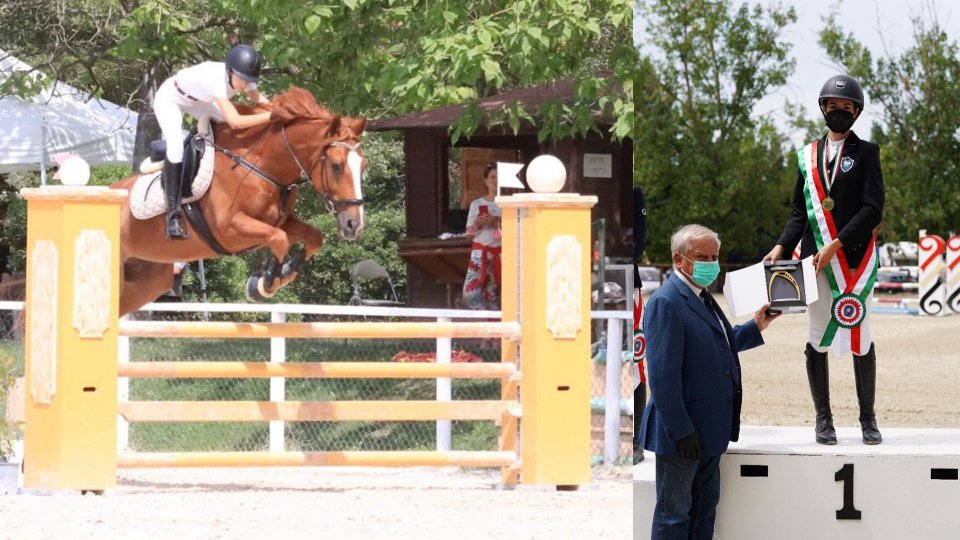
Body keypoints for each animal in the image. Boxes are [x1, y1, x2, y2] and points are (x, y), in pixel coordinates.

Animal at [112, 86, 368, 316]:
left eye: (363, 166)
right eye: (336, 166)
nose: (354, 224)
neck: (261, 164)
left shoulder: (279, 222)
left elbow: (313, 237)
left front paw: (283, 273)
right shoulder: (229, 229)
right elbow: (280, 239)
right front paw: (265, 284)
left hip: (149, 279)